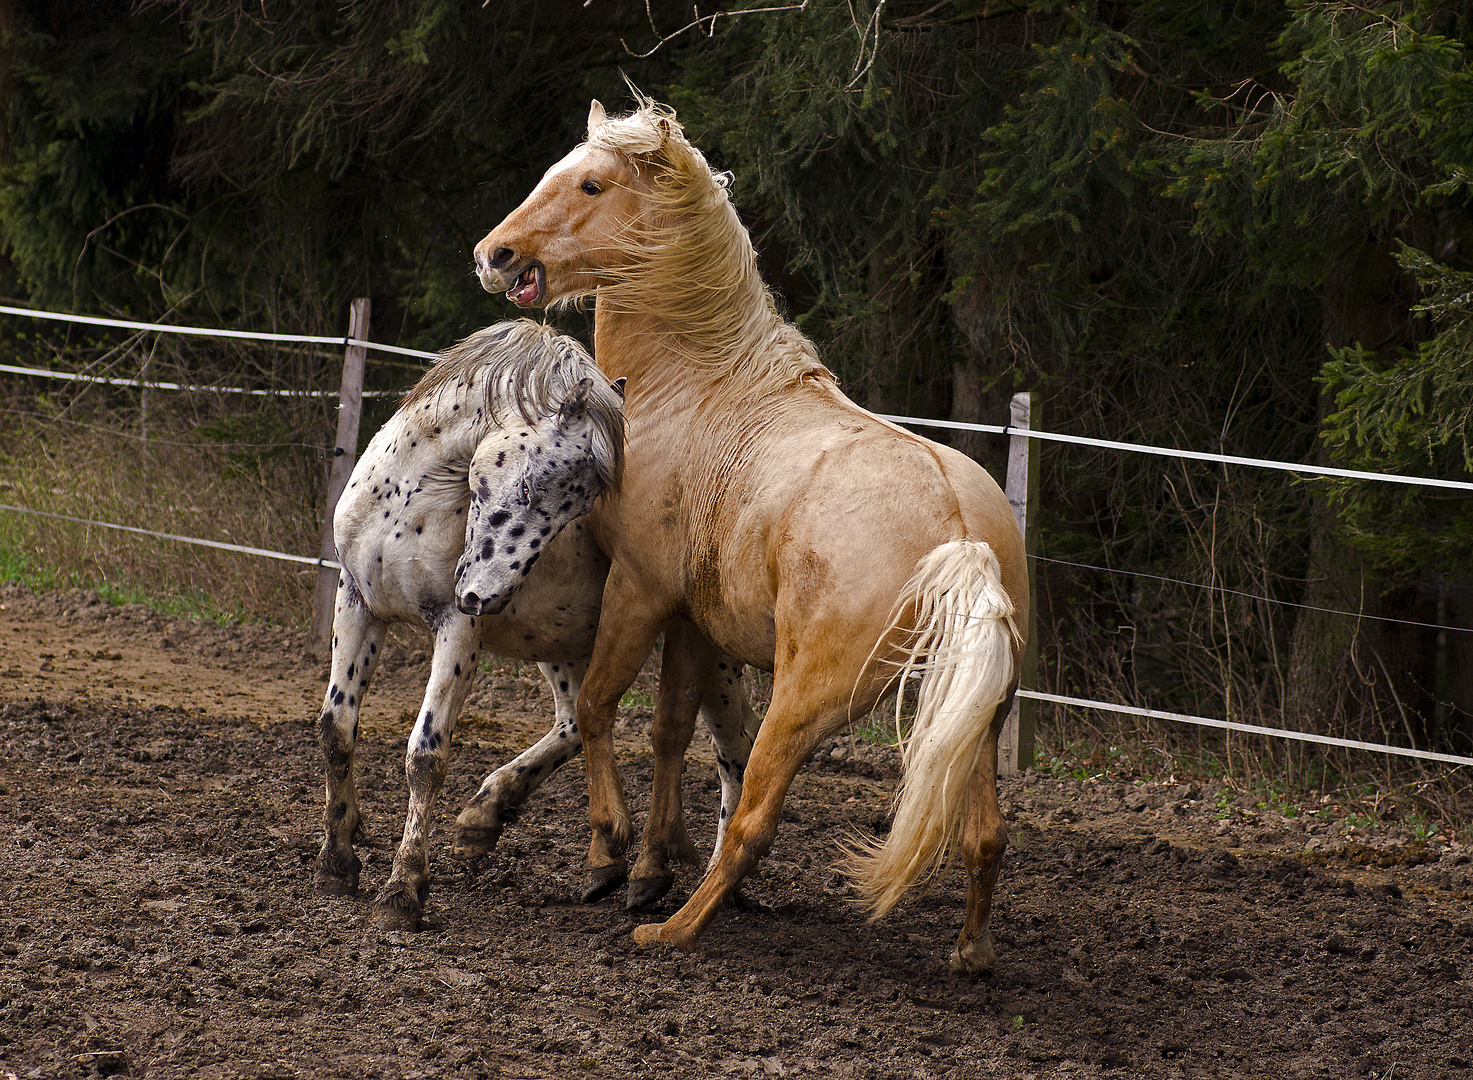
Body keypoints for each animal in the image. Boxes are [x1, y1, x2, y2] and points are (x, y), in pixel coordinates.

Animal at [318, 318, 765, 925]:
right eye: (529, 487)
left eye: (576, 509)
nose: (482, 594)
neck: (408, 502)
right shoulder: (357, 601)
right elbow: (337, 730)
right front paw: (337, 863)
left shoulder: (457, 632)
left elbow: (425, 755)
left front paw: (402, 892)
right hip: (562, 645)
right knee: (579, 720)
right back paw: (492, 822)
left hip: (702, 653)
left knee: (733, 747)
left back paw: (695, 884)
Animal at [471, 98, 1025, 966]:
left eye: (591, 183)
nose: (494, 253)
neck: (695, 385)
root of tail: (961, 538)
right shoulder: (693, 619)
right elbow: (667, 731)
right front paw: (649, 866)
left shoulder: (638, 590)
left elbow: (596, 708)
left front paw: (608, 857)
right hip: (975, 720)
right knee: (984, 837)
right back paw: (968, 953)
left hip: (802, 707)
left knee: (754, 823)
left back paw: (670, 931)